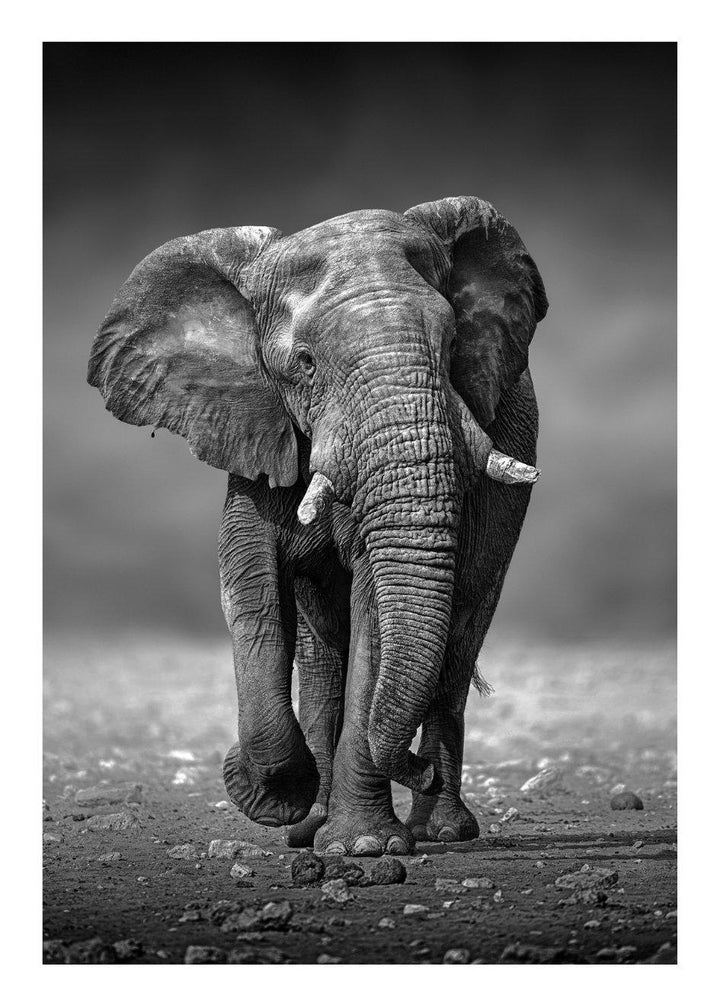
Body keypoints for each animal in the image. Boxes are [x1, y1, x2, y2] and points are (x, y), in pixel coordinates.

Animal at [87, 196, 547, 856]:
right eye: (304, 364)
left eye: (453, 342)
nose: (415, 769)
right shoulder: (255, 428)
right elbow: (250, 586)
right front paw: (275, 796)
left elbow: (374, 605)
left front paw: (365, 848)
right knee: (322, 652)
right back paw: (311, 826)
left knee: (459, 632)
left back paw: (438, 831)